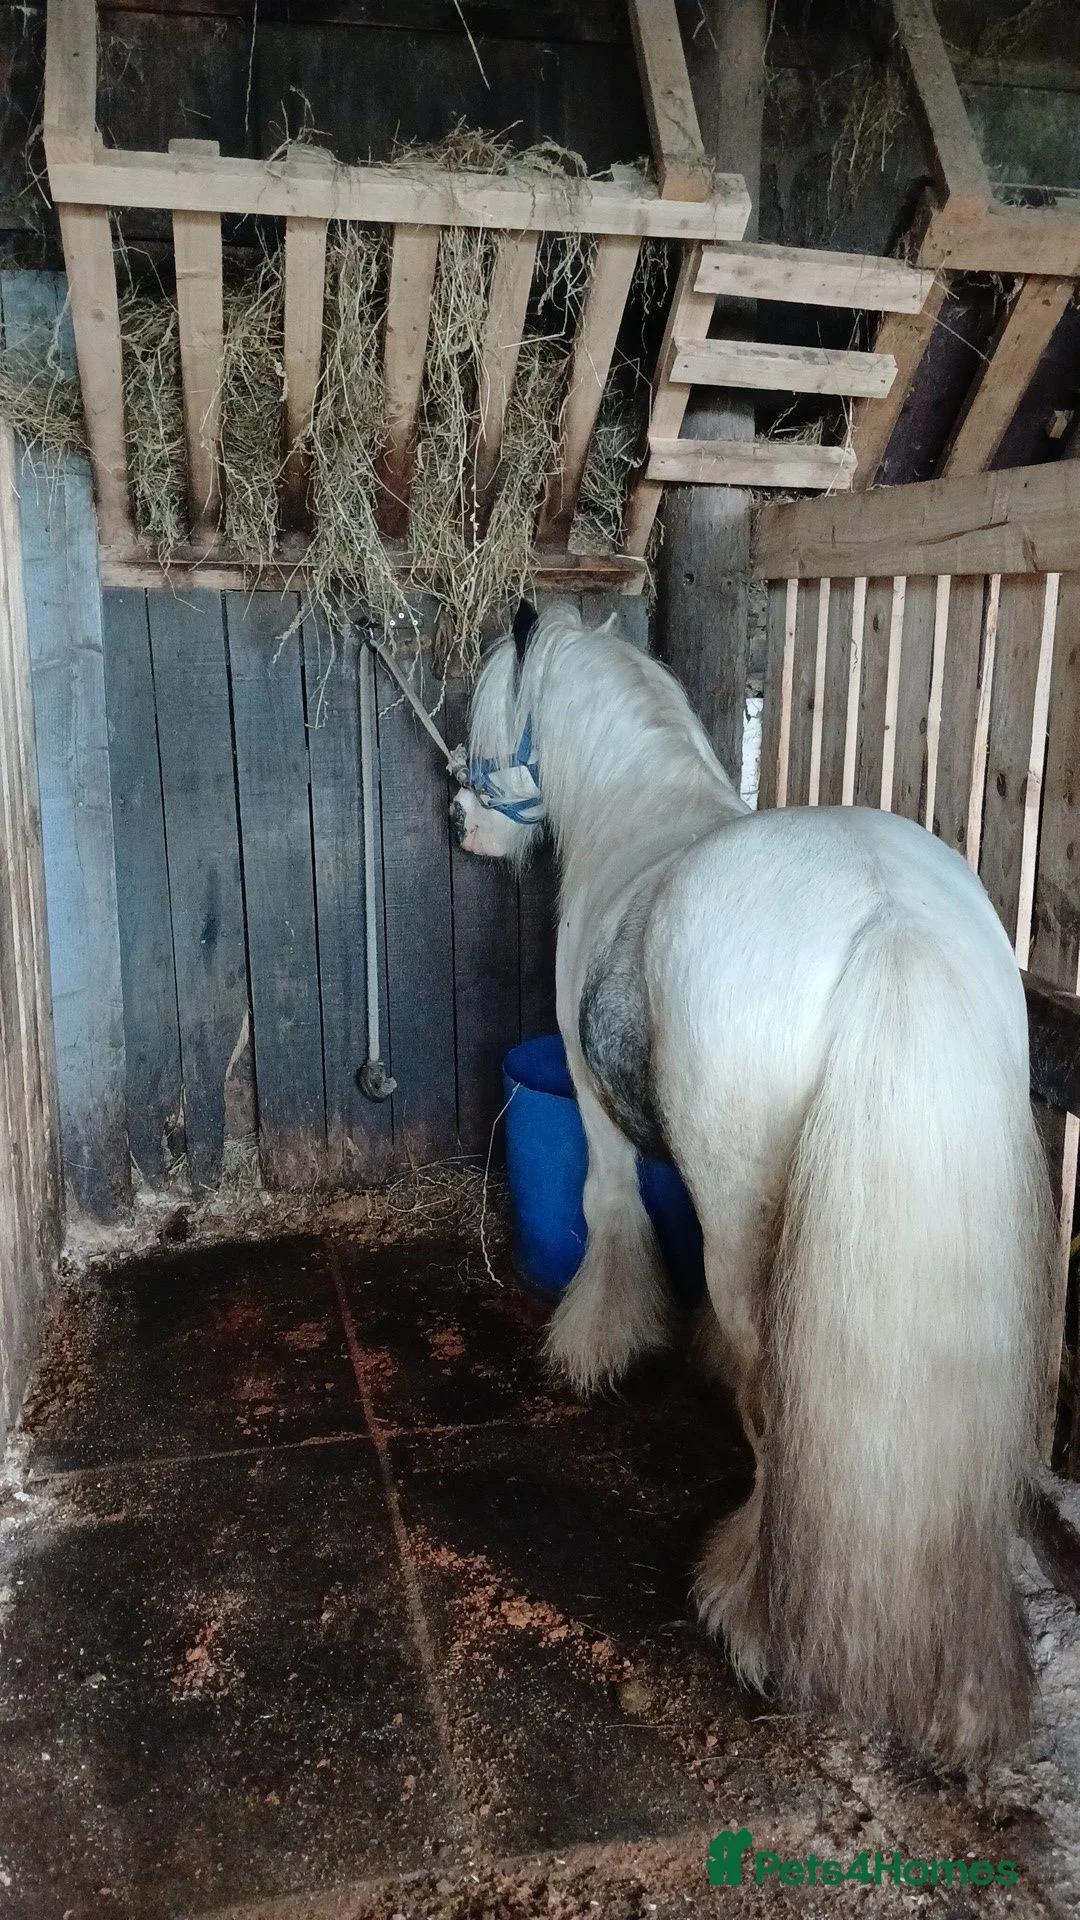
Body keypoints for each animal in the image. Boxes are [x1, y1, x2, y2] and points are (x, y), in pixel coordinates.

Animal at [452, 599, 1056, 1770]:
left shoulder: (594, 1105)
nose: (465, 825)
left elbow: (612, 1215)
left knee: (778, 1395)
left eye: (491, 709)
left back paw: (752, 1609)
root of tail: (886, 921)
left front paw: (597, 1346)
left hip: (747, 1218)